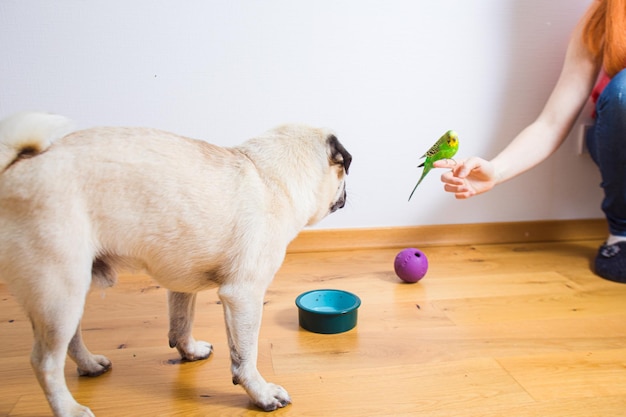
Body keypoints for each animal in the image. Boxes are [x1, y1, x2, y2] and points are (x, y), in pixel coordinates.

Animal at [0, 110, 352, 416]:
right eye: (344, 175)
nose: (347, 196)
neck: (268, 175)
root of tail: (18, 165)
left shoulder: (183, 283)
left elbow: (182, 322)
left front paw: (190, 352)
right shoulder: (243, 295)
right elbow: (244, 355)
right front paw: (261, 393)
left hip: (70, 291)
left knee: (71, 340)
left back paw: (89, 365)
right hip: (59, 291)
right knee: (46, 363)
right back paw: (69, 409)